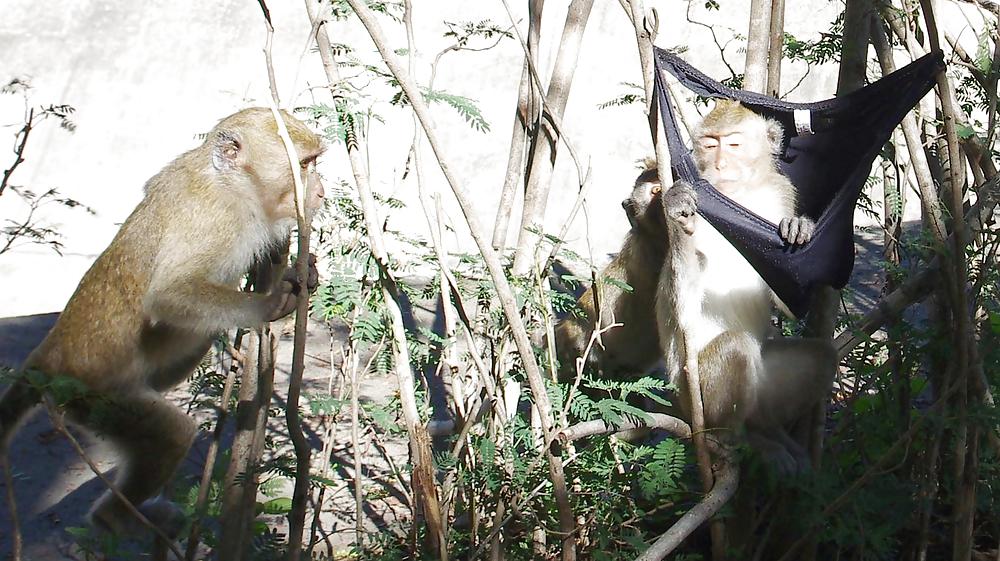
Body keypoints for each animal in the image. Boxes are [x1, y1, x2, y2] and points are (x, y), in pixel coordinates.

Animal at [0, 107, 325, 537]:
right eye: (304, 165)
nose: (320, 190)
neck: (234, 186)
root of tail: (47, 356)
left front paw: (298, 276)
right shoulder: (216, 218)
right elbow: (168, 295)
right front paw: (270, 305)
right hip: (93, 395)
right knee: (170, 434)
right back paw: (116, 520)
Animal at [657, 100, 837, 473]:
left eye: (734, 144)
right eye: (710, 144)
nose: (720, 165)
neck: (740, 196)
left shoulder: (781, 192)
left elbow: (785, 298)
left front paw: (800, 228)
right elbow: (682, 308)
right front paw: (679, 214)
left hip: (767, 388)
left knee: (821, 357)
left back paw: (768, 431)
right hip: (696, 396)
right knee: (735, 347)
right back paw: (734, 440)